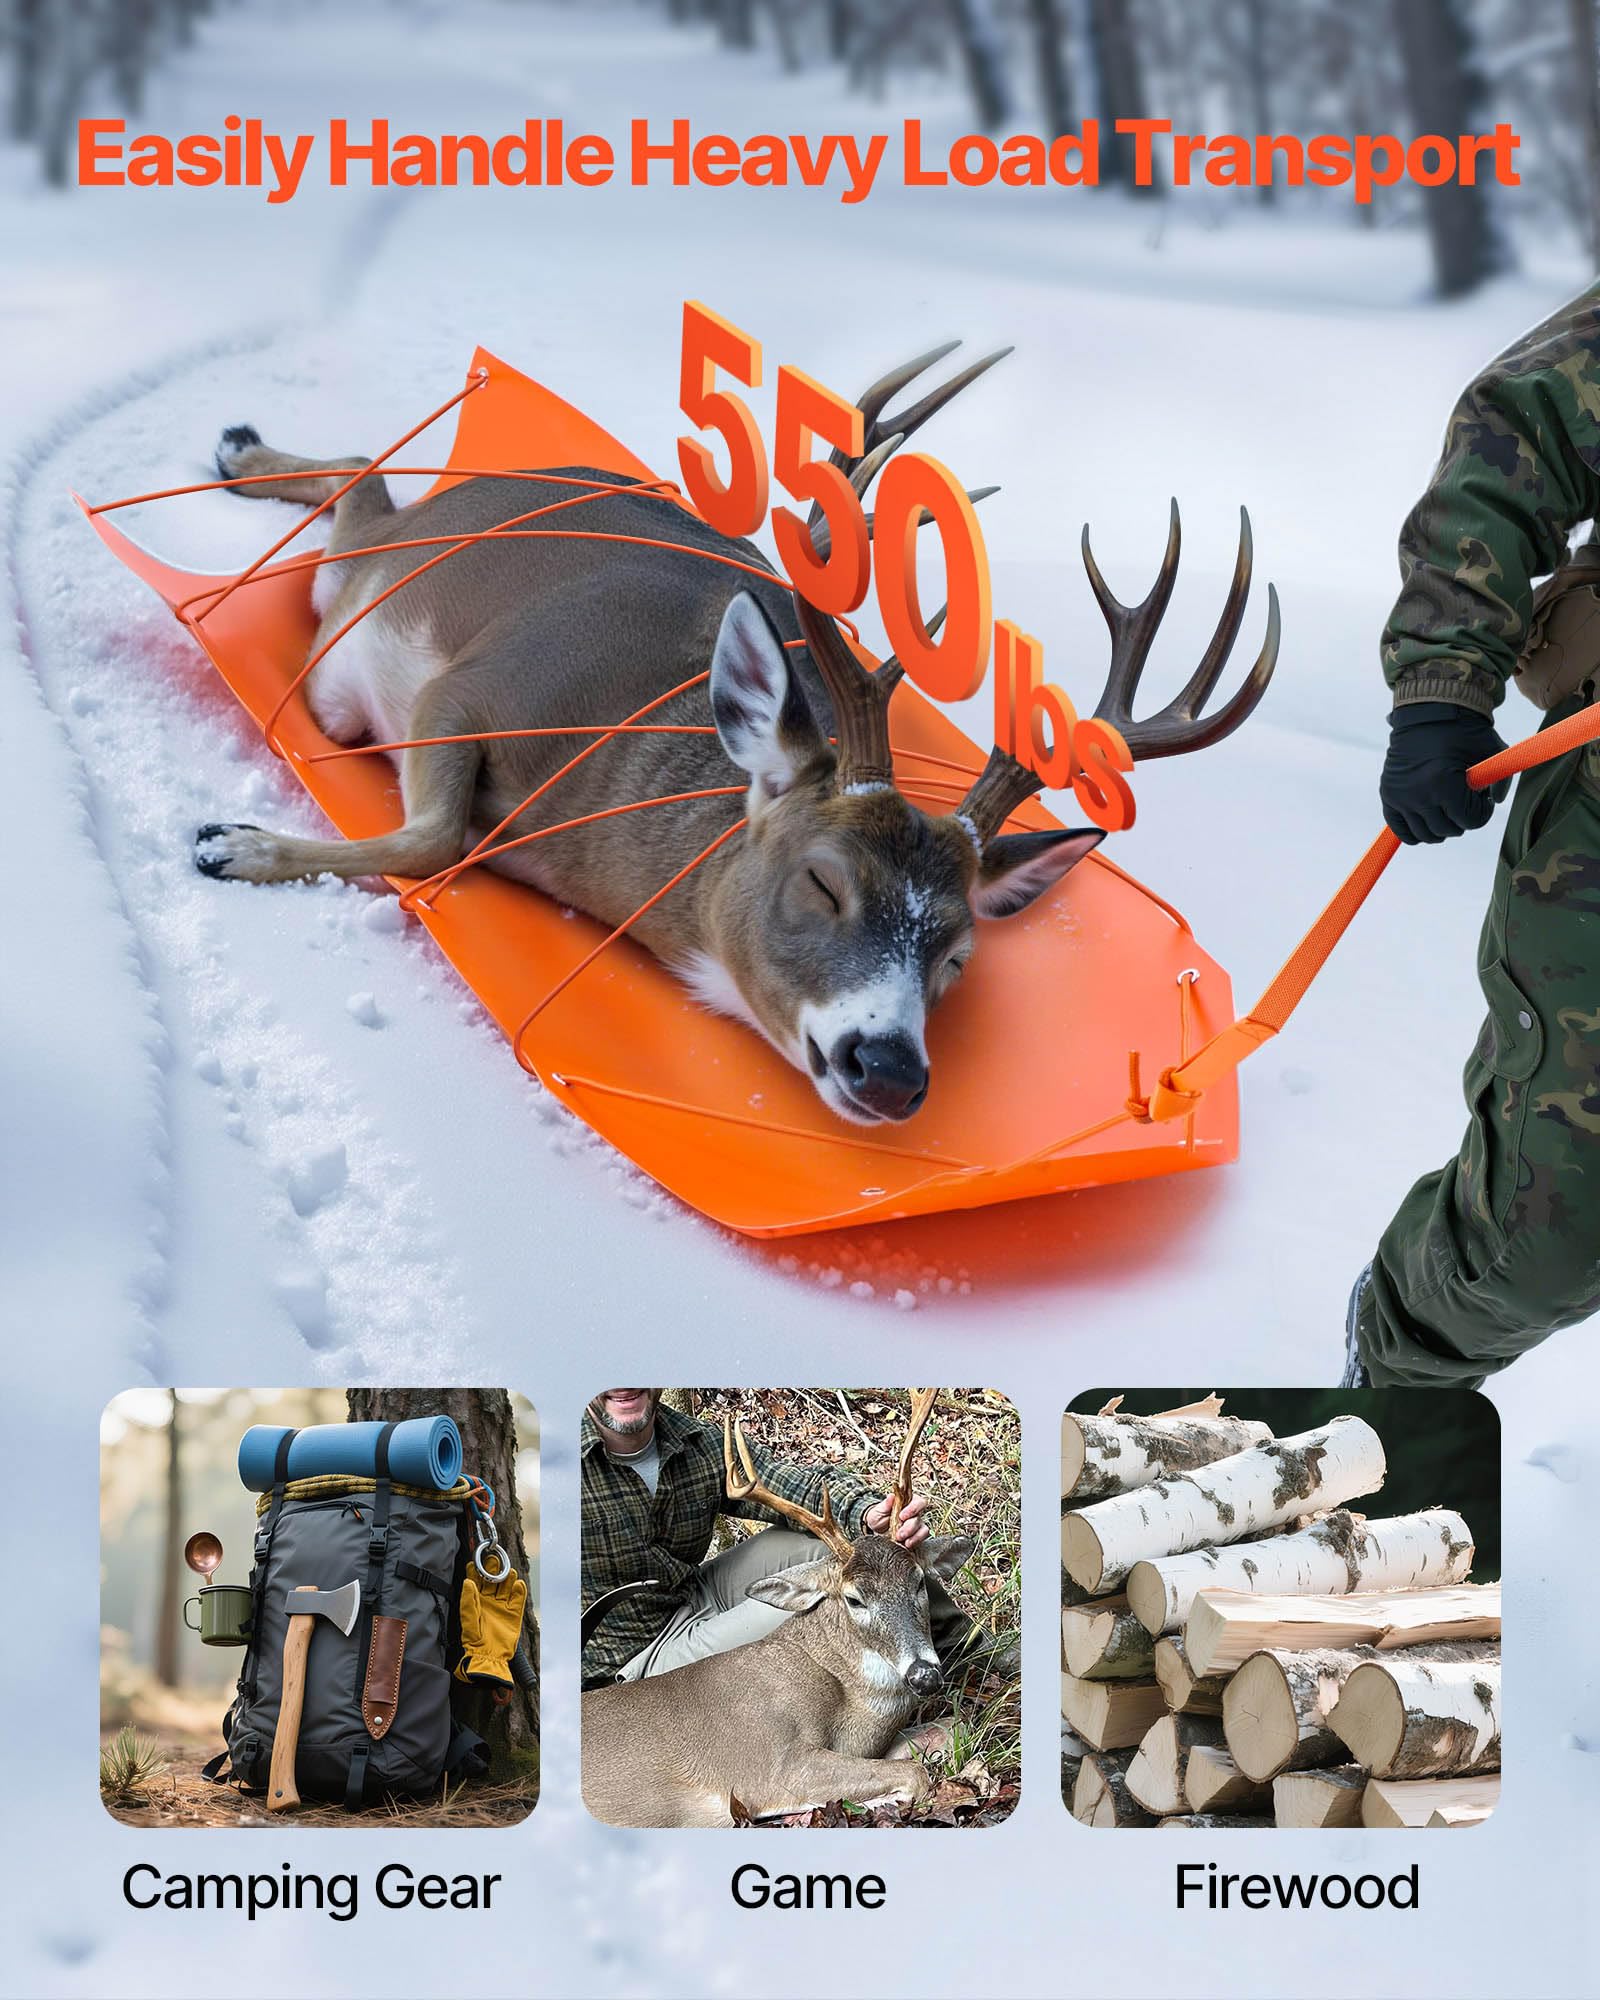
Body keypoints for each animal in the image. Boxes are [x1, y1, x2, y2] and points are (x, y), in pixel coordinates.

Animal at [196, 345, 1278, 1124]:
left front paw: (240, 844)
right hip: (374, 599)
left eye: (958, 954)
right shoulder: (473, 687)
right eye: (823, 881)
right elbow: (433, 838)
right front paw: (233, 846)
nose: (888, 1069)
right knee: (362, 484)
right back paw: (239, 448)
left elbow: (433, 837)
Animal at [580, 1389, 976, 1827]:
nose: (924, 1675)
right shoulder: (770, 1763)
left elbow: (955, 1726)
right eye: (854, 1598)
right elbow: (915, 1773)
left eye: (919, 1581)